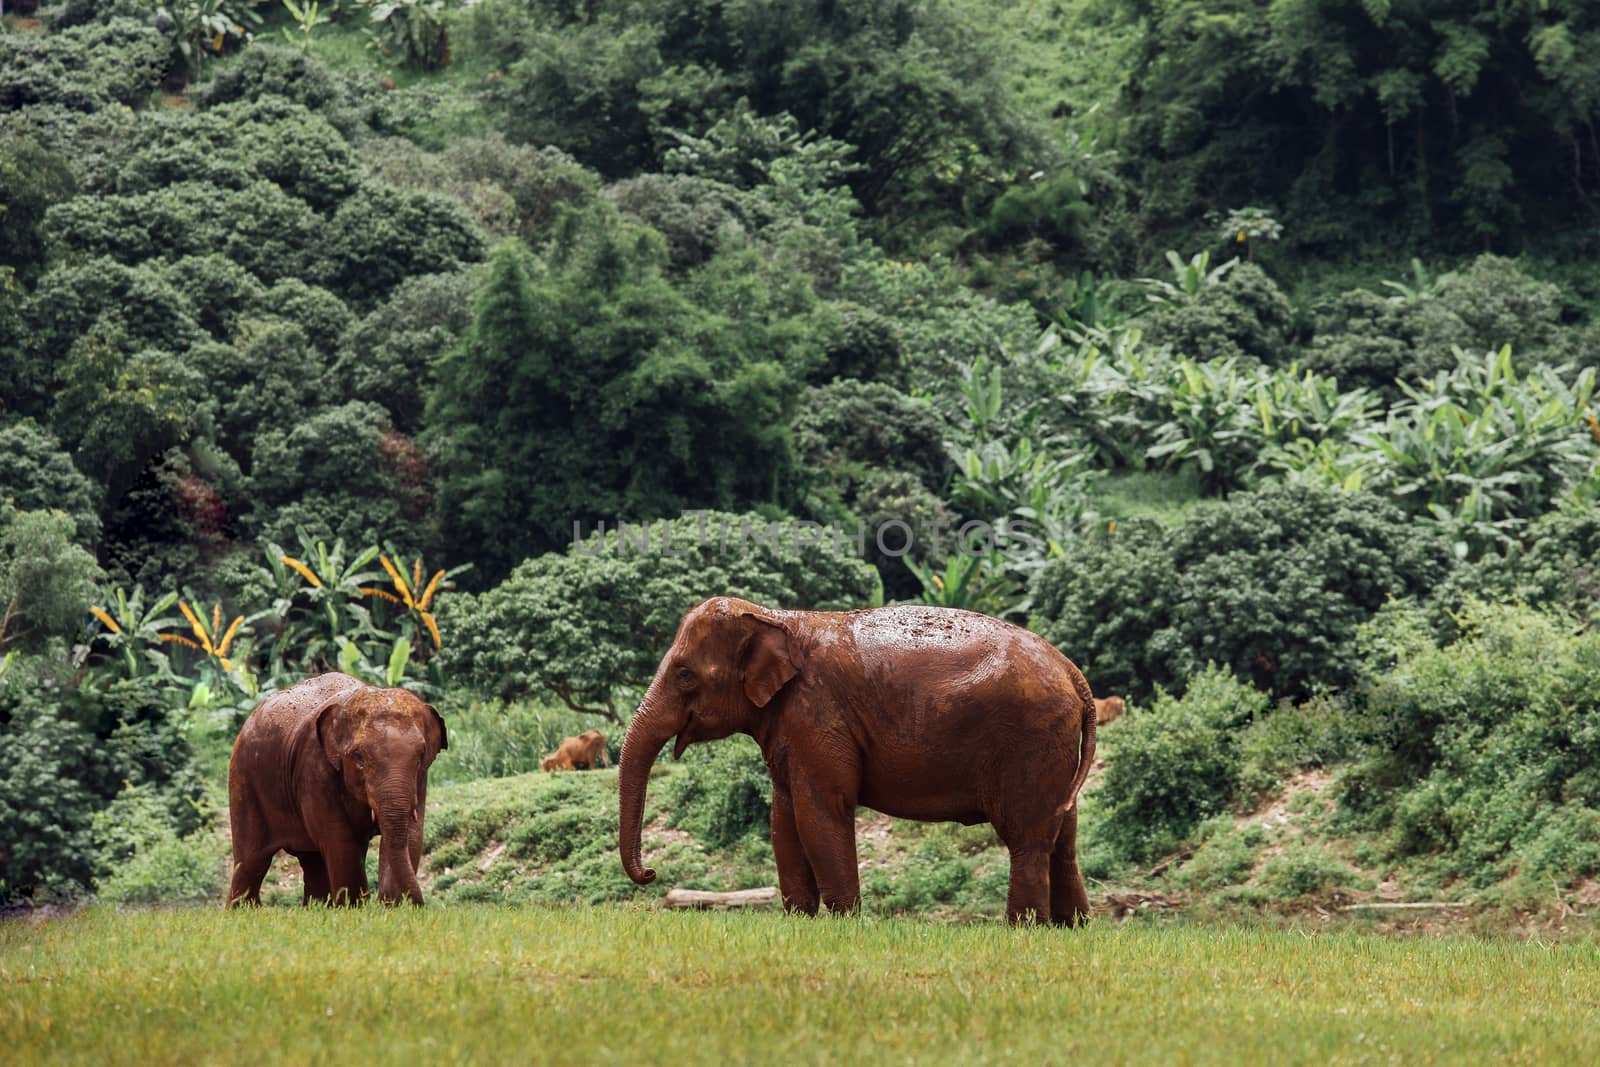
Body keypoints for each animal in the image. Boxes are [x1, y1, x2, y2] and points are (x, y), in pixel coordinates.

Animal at [225, 671, 444, 908]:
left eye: (421, 756)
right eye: (359, 757)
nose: (419, 905)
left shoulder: (420, 780)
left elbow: (412, 835)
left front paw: (393, 908)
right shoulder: (314, 769)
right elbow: (341, 842)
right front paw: (355, 909)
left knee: (312, 862)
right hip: (244, 781)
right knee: (251, 861)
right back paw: (242, 910)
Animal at [617, 601, 1094, 927]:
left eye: (684, 675)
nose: (651, 873)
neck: (777, 617)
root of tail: (1074, 674)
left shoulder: (818, 714)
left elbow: (821, 812)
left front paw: (844, 925)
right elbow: (783, 818)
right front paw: (800, 922)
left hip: (1031, 741)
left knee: (1027, 839)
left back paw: (1023, 930)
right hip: (1053, 747)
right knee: (1063, 839)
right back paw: (1070, 930)